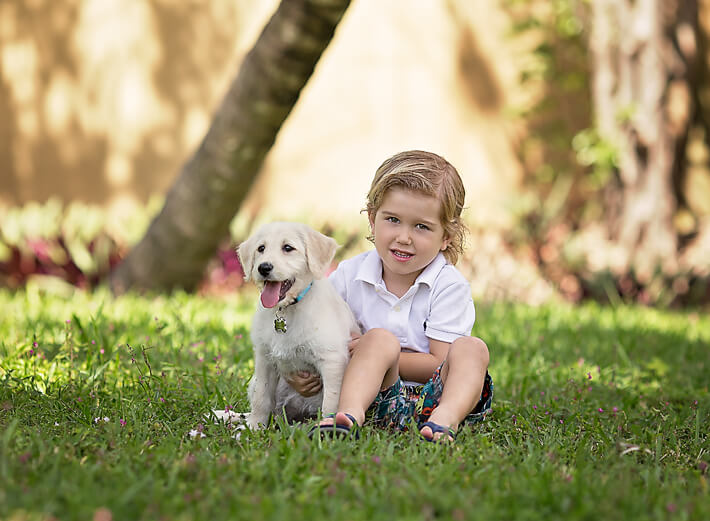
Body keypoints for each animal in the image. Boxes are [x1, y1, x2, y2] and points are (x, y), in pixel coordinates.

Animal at [239, 221, 362, 428]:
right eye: (261, 248)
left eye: (288, 248)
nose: (264, 267)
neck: (286, 309)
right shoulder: (264, 358)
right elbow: (261, 397)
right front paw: (255, 427)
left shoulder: (332, 360)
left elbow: (331, 402)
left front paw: (328, 427)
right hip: (256, 382)